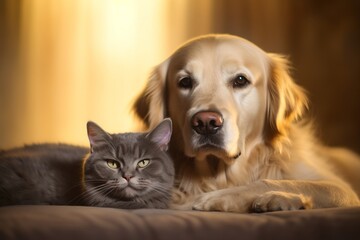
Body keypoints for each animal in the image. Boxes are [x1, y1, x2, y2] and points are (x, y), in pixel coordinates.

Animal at [134, 34, 360, 212]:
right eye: (185, 82)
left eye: (240, 80)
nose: (206, 122)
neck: (220, 174)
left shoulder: (341, 189)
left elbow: (284, 183)